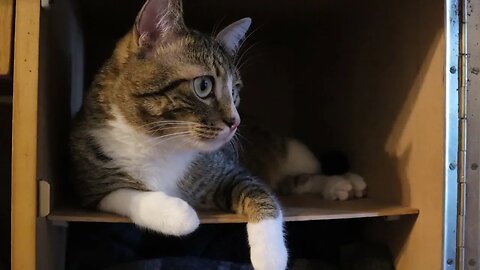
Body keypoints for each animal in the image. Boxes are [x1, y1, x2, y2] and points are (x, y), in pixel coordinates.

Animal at [68, 0, 368, 270]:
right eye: (204, 86)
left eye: (235, 91)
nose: (236, 122)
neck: (161, 142)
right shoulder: (90, 183)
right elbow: (121, 193)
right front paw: (180, 214)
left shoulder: (227, 170)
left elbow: (261, 194)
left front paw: (270, 257)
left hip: (296, 152)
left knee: (304, 175)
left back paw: (344, 182)